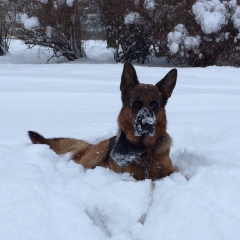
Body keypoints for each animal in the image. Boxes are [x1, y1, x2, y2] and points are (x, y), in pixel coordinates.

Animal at [29, 62, 177, 180]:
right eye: (136, 104)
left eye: (154, 105)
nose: (148, 124)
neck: (144, 150)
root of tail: (90, 144)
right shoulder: (132, 177)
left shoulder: (171, 172)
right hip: (100, 149)